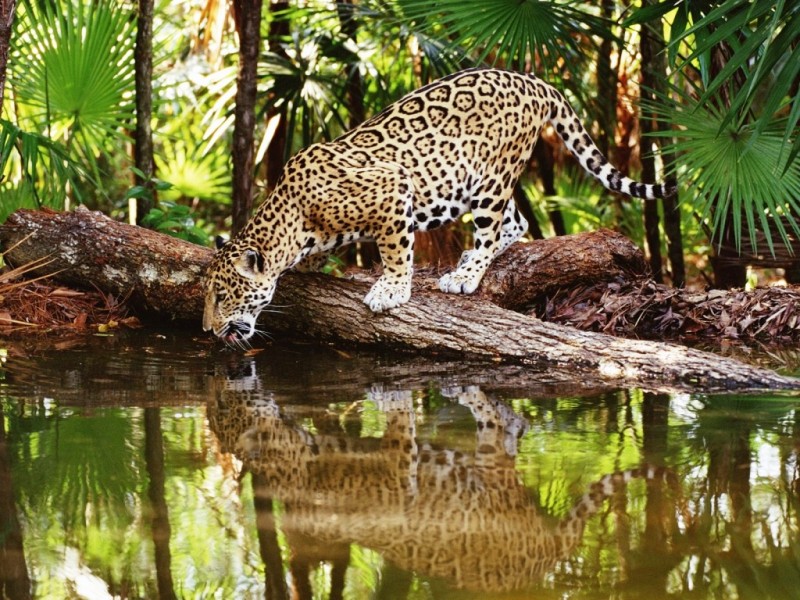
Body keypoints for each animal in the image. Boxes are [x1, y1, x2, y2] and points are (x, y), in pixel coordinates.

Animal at [203, 67, 676, 344]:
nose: (208, 329)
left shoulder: (393, 188)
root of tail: (533, 80)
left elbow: (396, 250)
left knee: (493, 226)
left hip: (491, 177)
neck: (293, 218)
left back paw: (465, 274)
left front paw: (391, 289)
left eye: (223, 295)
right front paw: (310, 265)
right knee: (518, 220)